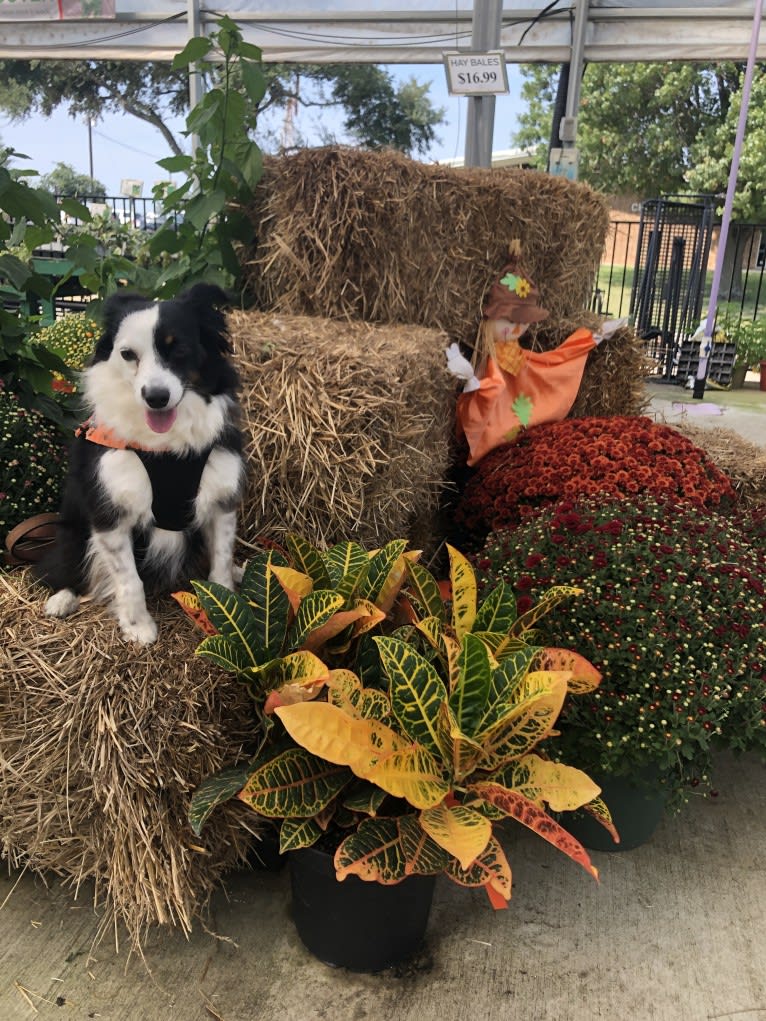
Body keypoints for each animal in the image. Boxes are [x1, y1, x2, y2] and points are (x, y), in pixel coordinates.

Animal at [37, 283, 244, 641]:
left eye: (179, 348)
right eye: (127, 355)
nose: (156, 398)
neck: (166, 448)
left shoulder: (221, 501)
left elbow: (220, 561)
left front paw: (225, 608)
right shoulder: (110, 514)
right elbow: (129, 580)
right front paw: (138, 627)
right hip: (72, 530)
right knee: (63, 566)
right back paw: (62, 599)